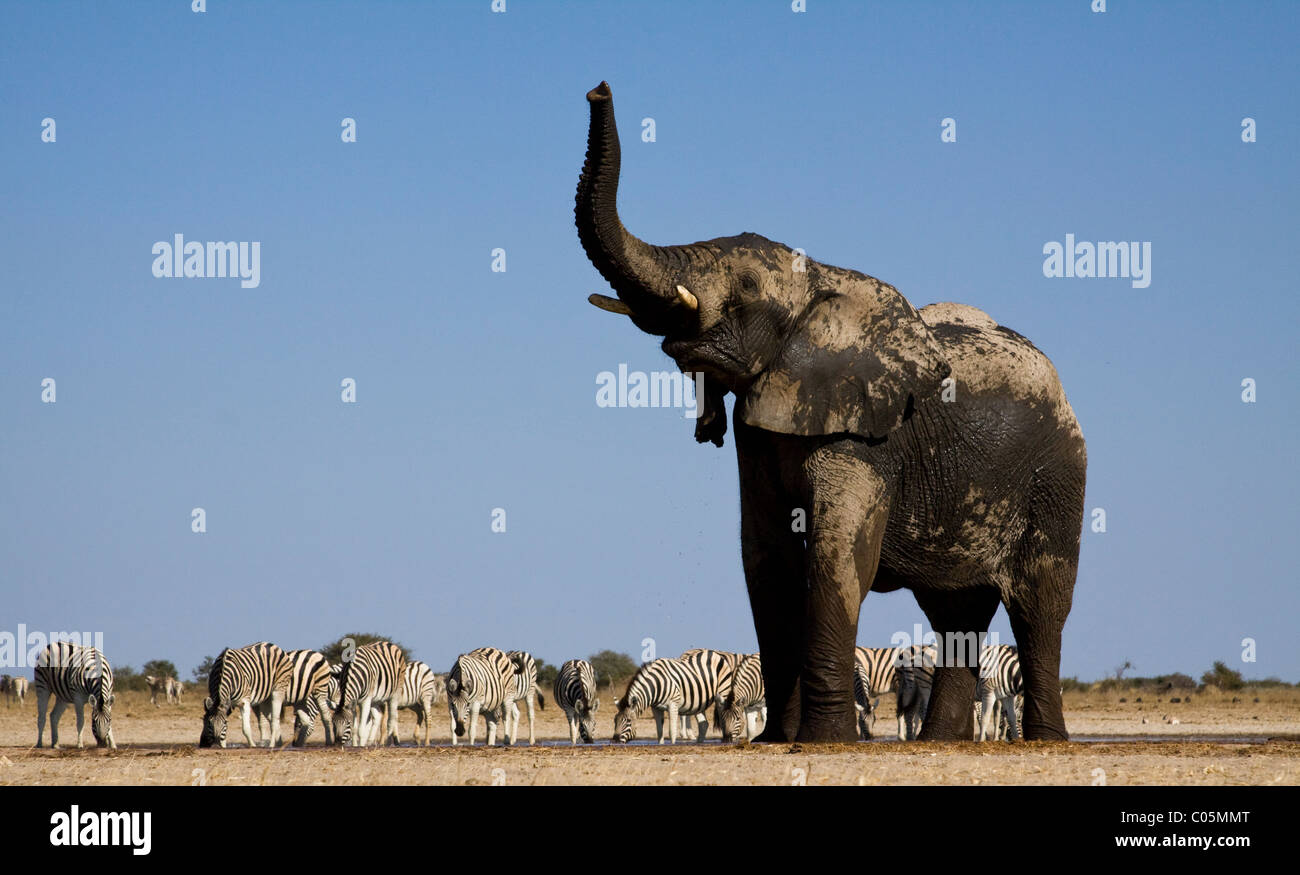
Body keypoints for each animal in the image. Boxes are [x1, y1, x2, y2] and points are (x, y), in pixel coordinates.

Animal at [577, 81, 1086, 738]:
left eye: (746, 289)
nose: (599, 89)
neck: (822, 276)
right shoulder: (760, 426)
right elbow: (765, 560)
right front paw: (775, 742)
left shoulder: (868, 434)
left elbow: (835, 554)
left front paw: (823, 739)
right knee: (957, 611)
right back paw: (937, 742)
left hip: (1057, 472)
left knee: (1040, 602)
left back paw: (1045, 739)